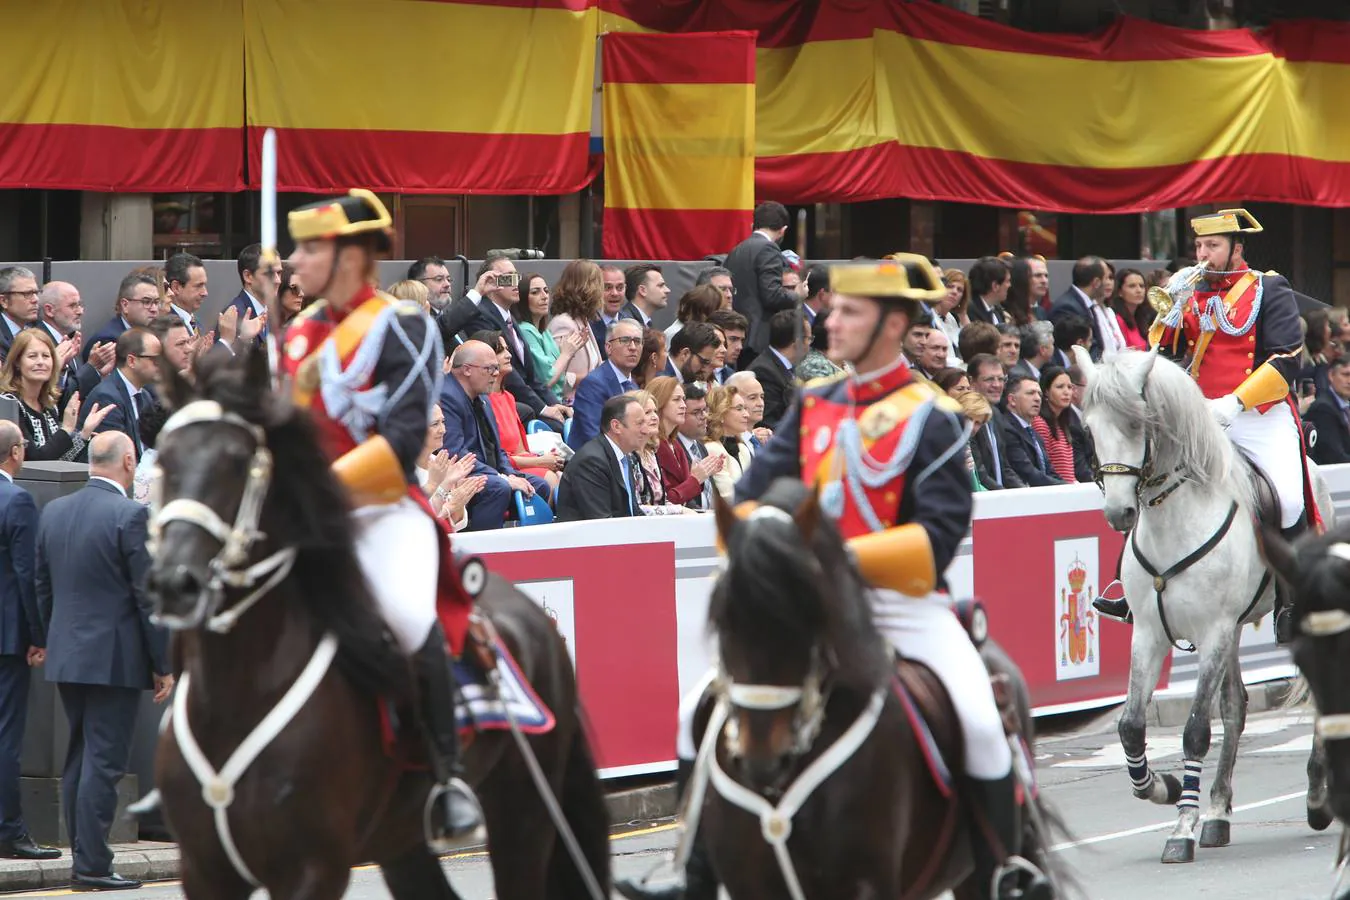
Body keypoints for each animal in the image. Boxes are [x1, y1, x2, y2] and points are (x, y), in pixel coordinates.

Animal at [145, 350, 610, 900]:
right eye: (164, 460)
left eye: (241, 463)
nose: (175, 583)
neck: (239, 696)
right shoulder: (205, 870)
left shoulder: (313, 868)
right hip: (403, 839)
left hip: (524, 812)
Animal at [1069, 348, 1333, 863]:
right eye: (1089, 428)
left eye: (1137, 424)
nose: (1118, 514)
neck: (1176, 518)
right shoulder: (1150, 633)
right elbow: (1130, 726)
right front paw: (1165, 788)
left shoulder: (1212, 630)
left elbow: (1194, 731)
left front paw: (1181, 828)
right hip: (1234, 631)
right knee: (1235, 707)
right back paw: (1218, 814)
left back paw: (1316, 799)